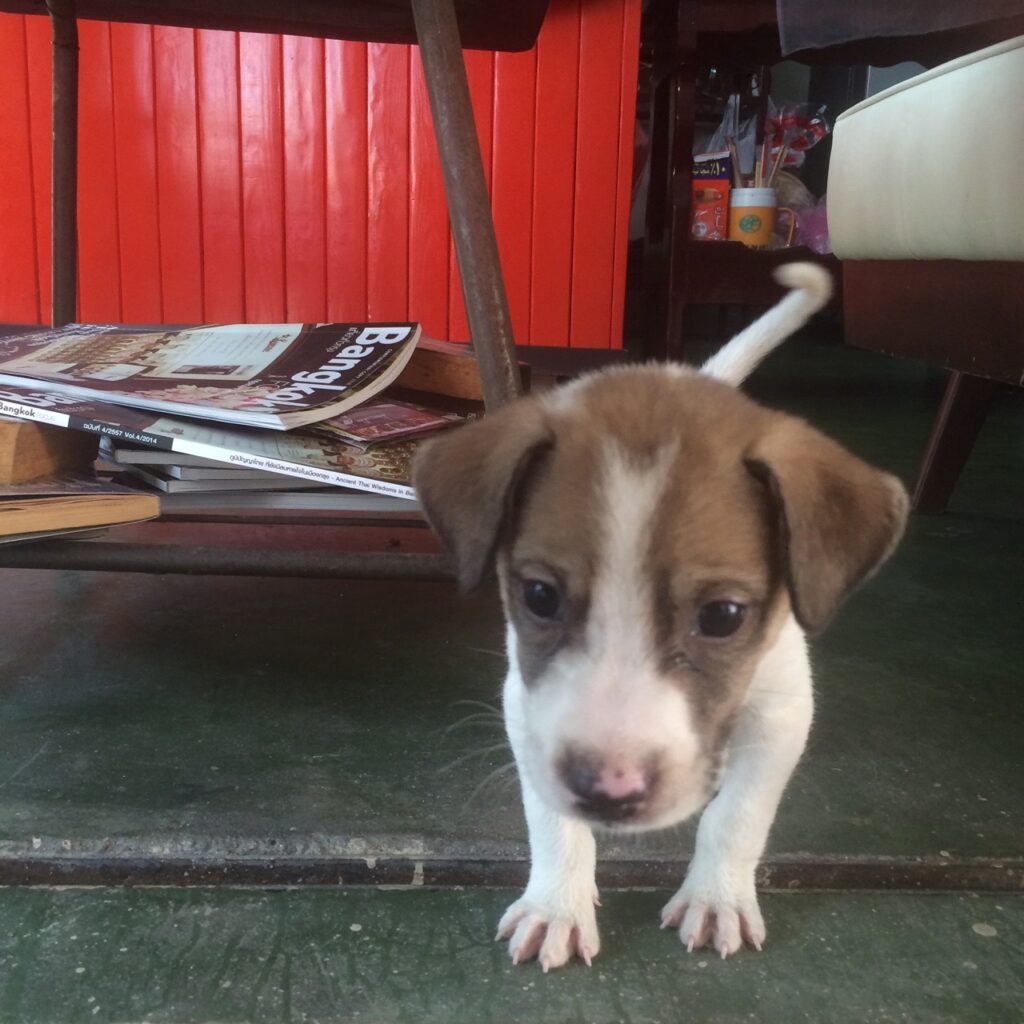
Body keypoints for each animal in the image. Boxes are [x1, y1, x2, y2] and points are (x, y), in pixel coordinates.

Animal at [411, 264, 909, 966]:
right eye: (539, 596)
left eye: (724, 616)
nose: (607, 790)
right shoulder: (527, 709)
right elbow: (552, 820)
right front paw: (557, 903)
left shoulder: (782, 715)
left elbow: (736, 816)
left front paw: (718, 896)